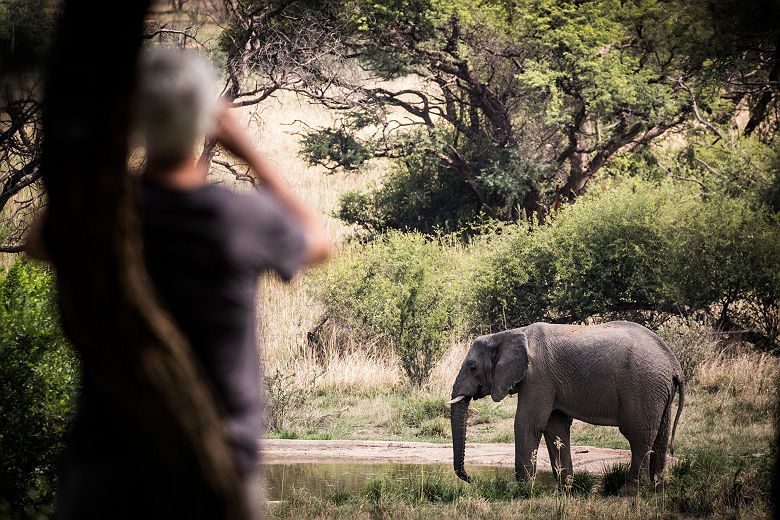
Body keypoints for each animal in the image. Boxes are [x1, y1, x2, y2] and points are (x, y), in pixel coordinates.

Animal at [450, 320, 684, 492]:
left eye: (472, 367)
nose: (472, 479)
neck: (508, 334)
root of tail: (674, 364)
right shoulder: (548, 383)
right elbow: (555, 428)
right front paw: (566, 489)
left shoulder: (537, 378)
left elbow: (528, 424)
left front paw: (523, 490)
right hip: (659, 391)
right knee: (661, 435)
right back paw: (660, 487)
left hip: (643, 388)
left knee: (639, 437)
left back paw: (627, 493)